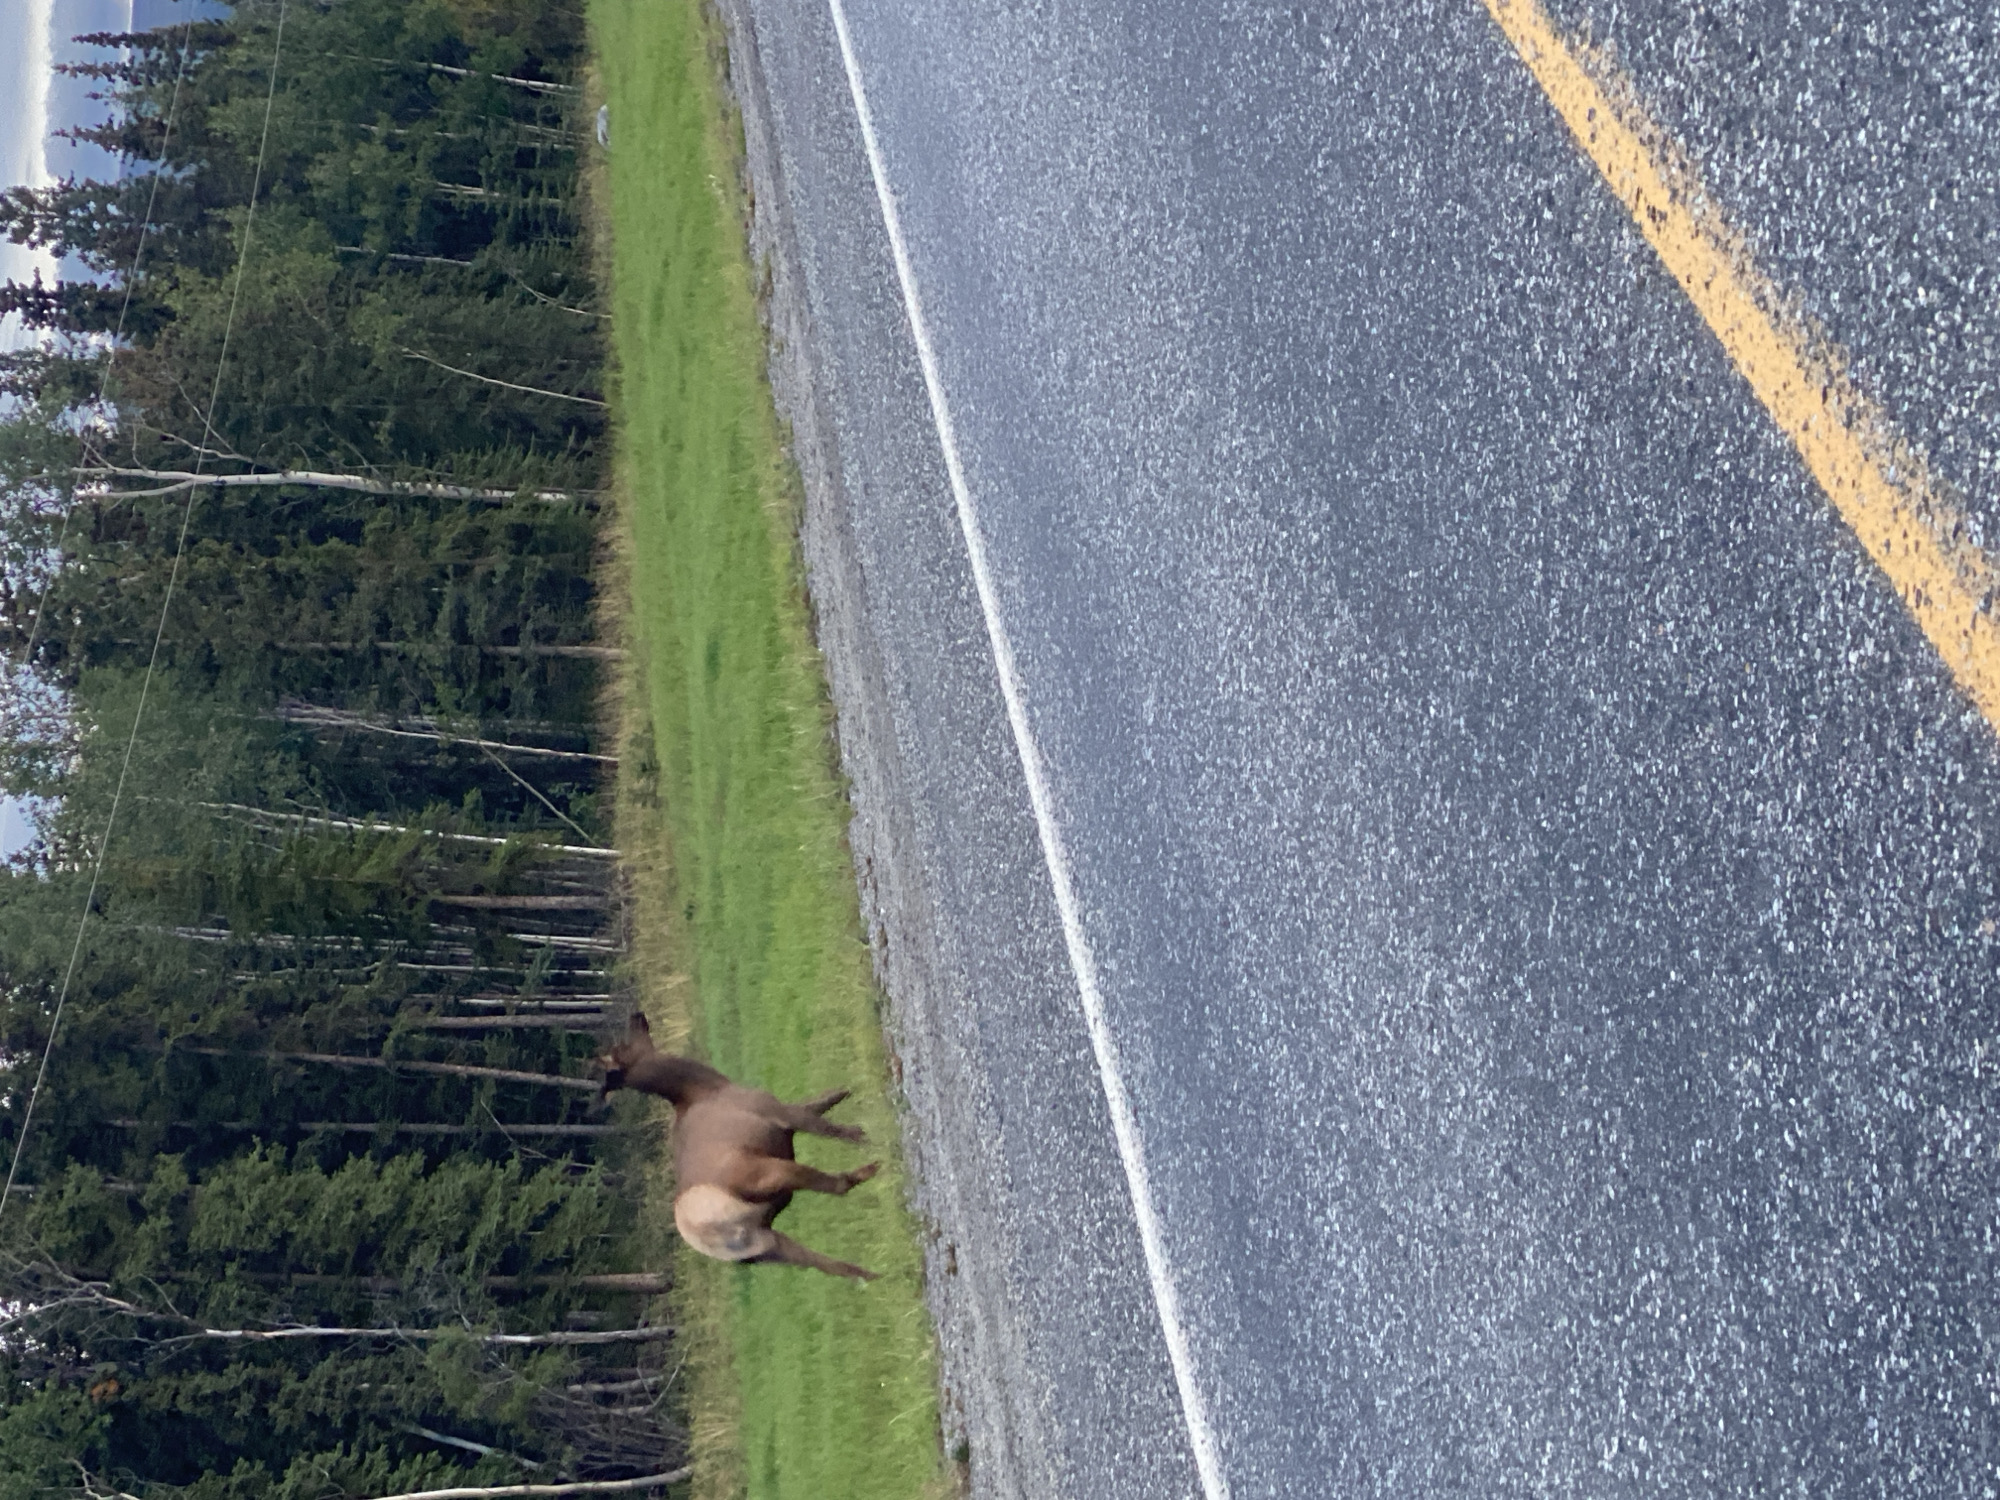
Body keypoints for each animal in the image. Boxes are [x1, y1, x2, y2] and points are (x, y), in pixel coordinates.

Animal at [597, 1013, 881, 1280]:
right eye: (623, 1046)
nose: (636, 1016)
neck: (704, 1087)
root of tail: (708, 1237)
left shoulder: (784, 1116)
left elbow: (825, 1100)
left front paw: (847, 1089)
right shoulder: (777, 1113)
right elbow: (826, 1125)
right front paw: (862, 1134)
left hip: (765, 1246)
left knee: (835, 1266)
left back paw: (877, 1275)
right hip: (772, 1172)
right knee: (837, 1186)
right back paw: (872, 1167)